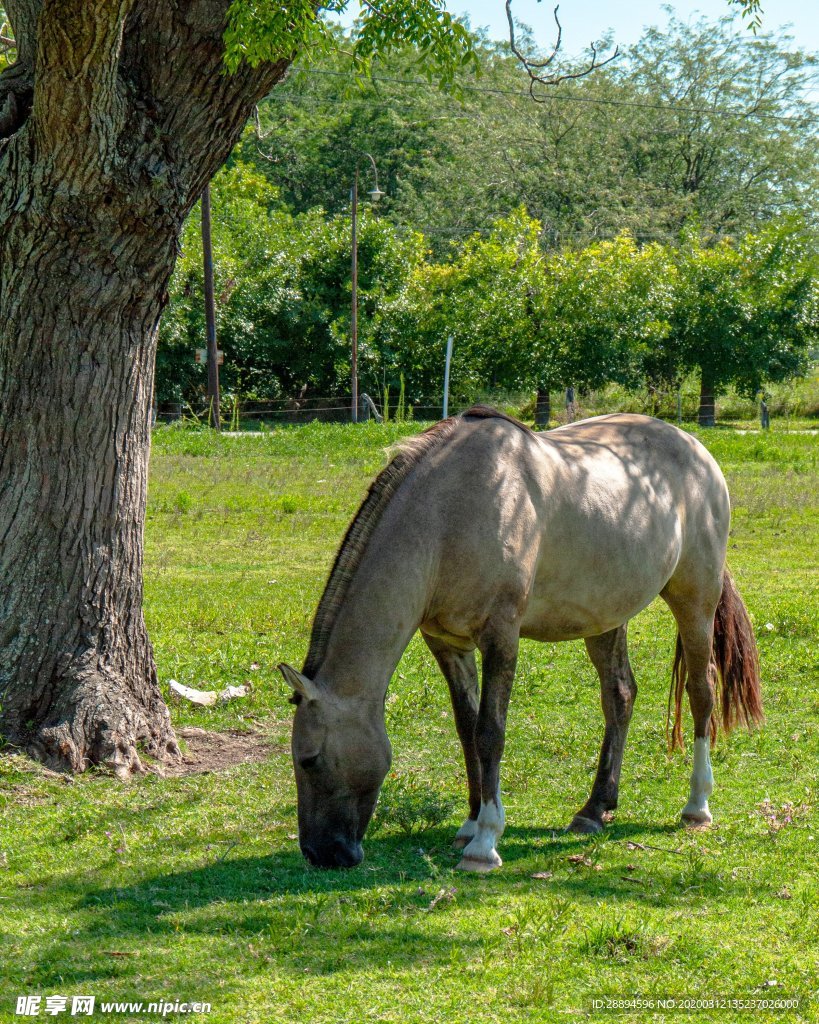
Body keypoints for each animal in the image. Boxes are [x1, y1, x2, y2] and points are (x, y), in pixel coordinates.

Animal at [278, 407, 765, 872]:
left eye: (309, 759)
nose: (321, 853)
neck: (447, 517)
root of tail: (697, 451)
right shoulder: (447, 643)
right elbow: (467, 729)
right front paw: (470, 823)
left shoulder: (501, 636)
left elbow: (490, 732)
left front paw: (485, 843)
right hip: (607, 618)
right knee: (620, 696)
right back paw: (595, 809)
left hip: (695, 601)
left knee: (701, 691)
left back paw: (697, 805)